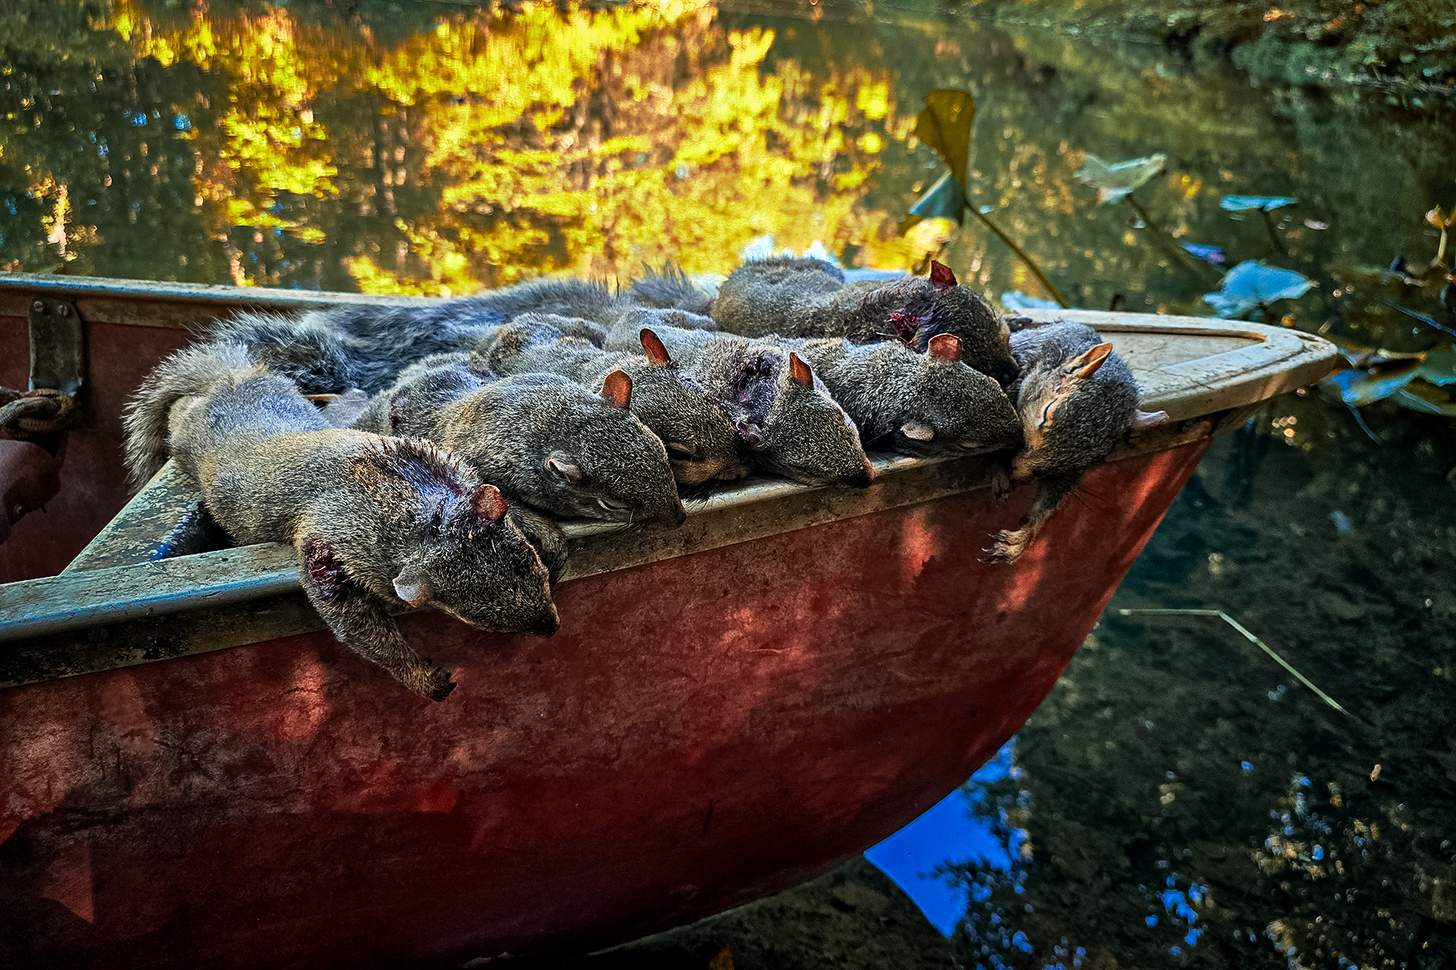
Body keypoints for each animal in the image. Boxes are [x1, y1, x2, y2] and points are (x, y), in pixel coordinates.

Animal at [122, 341, 562, 701]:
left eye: (531, 566)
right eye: (476, 616)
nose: (552, 627)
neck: (413, 507)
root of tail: (228, 381)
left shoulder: (453, 468)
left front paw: (541, 529)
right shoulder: (328, 543)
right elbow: (353, 620)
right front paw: (422, 677)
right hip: (188, 434)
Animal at [986, 321, 1167, 562]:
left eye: (1097, 458)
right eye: (1047, 412)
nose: (1018, 471)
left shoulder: (1067, 473)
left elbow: (1050, 500)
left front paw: (1020, 539)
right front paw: (1000, 470)